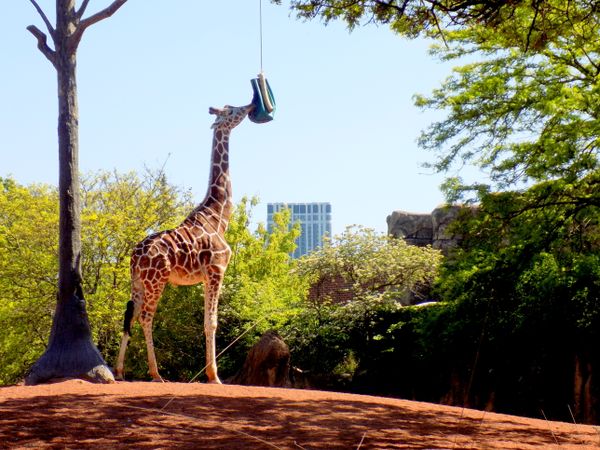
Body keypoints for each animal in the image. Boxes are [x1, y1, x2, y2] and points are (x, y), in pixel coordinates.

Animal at [115, 103, 253, 382]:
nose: (251, 105)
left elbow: (207, 321)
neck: (219, 216)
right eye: (231, 110)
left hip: (137, 282)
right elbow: (211, 321)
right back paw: (156, 373)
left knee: (130, 315)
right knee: (146, 317)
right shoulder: (216, 270)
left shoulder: (206, 277)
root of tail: (135, 256)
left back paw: (120, 371)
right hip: (157, 280)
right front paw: (214, 376)